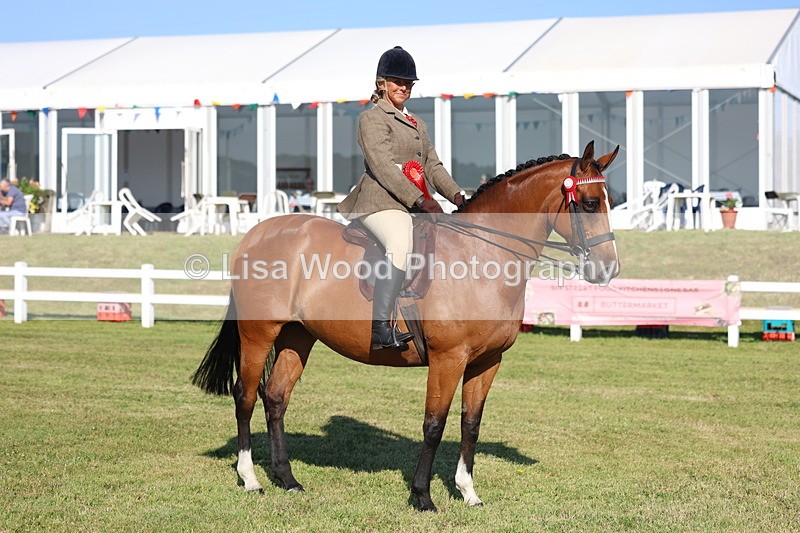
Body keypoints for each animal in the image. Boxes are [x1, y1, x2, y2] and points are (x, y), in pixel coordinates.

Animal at [192, 140, 621, 512]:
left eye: (609, 202)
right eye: (588, 203)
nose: (608, 270)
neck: (481, 255)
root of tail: (255, 234)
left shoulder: (487, 362)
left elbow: (470, 424)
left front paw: (468, 492)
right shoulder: (448, 359)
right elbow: (434, 425)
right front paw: (423, 497)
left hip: (298, 337)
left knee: (276, 397)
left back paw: (287, 479)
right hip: (258, 332)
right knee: (245, 396)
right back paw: (251, 479)